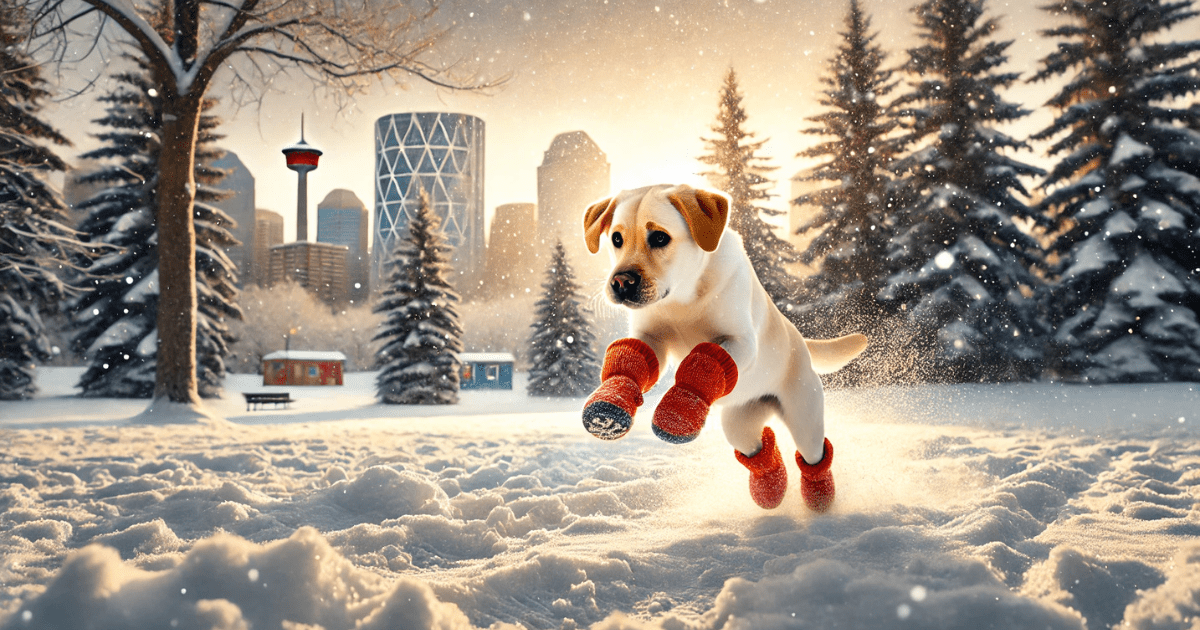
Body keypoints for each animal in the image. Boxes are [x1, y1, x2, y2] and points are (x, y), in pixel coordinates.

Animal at [578, 181, 864, 511]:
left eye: (660, 237)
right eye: (616, 239)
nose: (621, 282)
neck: (682, 299)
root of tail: (800, 342)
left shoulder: (741, 341)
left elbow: (704, 361)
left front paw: (678, 413)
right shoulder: (651, 338)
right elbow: (633, 362)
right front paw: (610, 404)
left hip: (804, 415)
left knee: (814, 455)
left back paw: (820, 499)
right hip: (739, 423)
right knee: (759, 451)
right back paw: (770, 490)